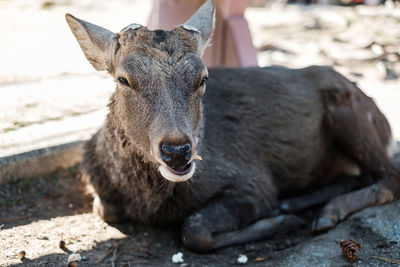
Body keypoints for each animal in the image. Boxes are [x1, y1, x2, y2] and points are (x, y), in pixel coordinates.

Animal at [65, 0, 396, 253]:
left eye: (203, 78)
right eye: (124, 79)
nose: (177, 151)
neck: (148, 200)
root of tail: (383, 119)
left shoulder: (252, 181)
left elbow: (193, 229)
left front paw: (280, 221)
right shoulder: (102, 195)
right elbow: (105, 209)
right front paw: (283, 215)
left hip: (351, 113)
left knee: (391, 176)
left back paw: (324, 212)